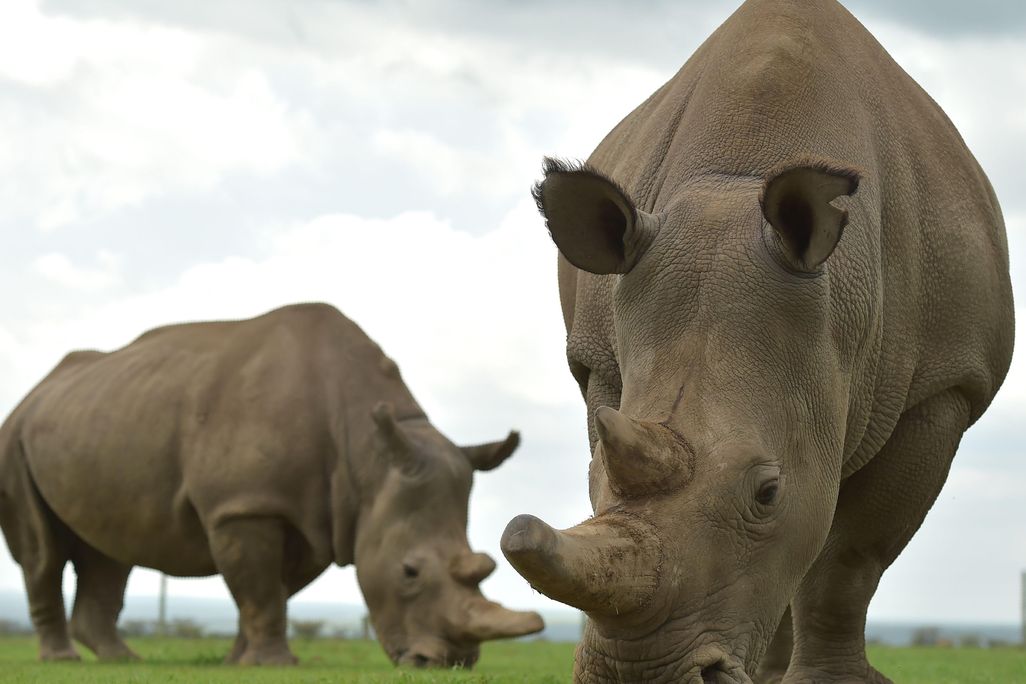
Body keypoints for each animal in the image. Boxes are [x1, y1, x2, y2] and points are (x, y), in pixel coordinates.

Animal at [0, 303, 543, 667]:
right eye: (409, 572)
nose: (451, 663)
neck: (366, 456)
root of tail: (37, 391)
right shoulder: (245, 506)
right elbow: (260, 589)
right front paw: (272, 665)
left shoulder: (319, 514)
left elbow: (270, 590)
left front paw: (240, 663)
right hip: (14, 436)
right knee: (43, 554)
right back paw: (63, 661)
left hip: (96, 418)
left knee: (109, 551)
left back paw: (122, 661)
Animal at [500, 1, 1014, 682]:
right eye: (590, 479)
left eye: (767, 493)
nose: (639, 673)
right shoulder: (601, 365)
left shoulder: (945, 384)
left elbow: (849, 554)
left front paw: (834, 682)